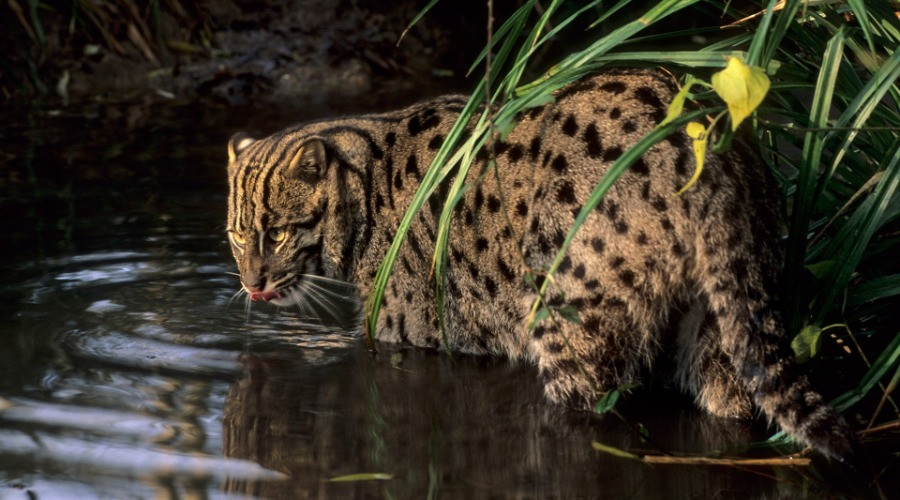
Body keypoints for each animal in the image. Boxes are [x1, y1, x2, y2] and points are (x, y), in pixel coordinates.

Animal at [225, 68, 856, 462]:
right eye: (235, 235)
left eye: (278, 233)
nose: (251, 284)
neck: (367, 189)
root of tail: (704, 151)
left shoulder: (411, 333)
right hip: (721, 317)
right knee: (735, 398)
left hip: (570, 314)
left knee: (591, 402)